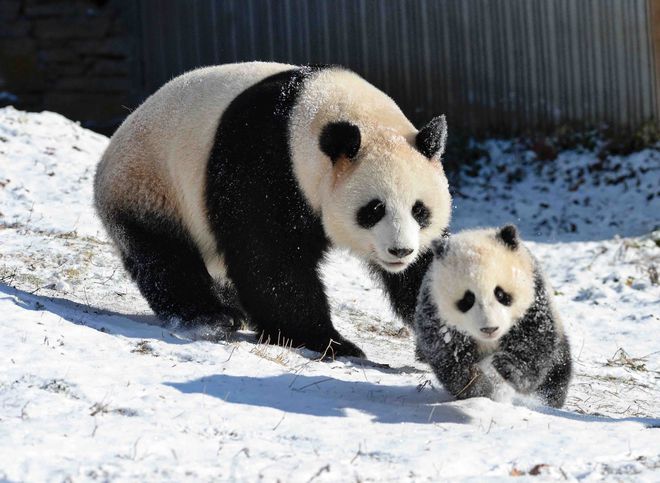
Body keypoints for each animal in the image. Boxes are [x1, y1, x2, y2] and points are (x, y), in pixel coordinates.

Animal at [94, 61, 454, 360]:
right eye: (374, 209)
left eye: (420, 211)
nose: (401, 251)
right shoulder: (263, 165)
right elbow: (269, 258)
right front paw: (330, 342)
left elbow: (427, 273)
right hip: (151, 186)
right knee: (165, 258)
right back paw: (211, 316)